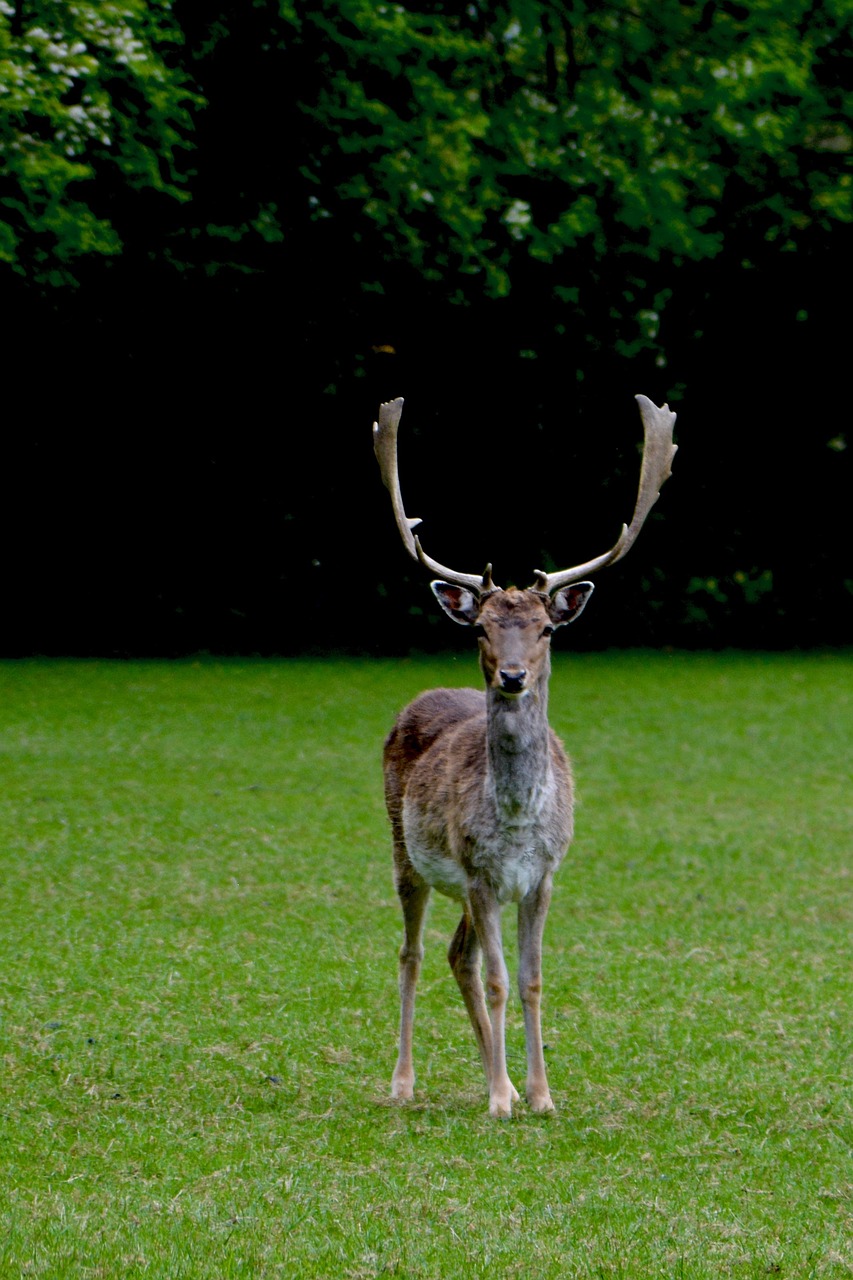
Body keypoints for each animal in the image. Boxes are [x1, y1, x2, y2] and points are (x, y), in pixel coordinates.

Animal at [371, 394, 671, 1116]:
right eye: (481, 627)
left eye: (544, 629)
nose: (512, 676)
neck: (513, 819)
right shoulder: (480, 873)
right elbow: (502, 980)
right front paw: (504, 1100)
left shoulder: (542, 875)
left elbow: (530, 980)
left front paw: (536, 1094)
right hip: (407, 851)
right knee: (413, 953)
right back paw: (405, 1082)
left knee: (459, 956)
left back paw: (493, 1075)